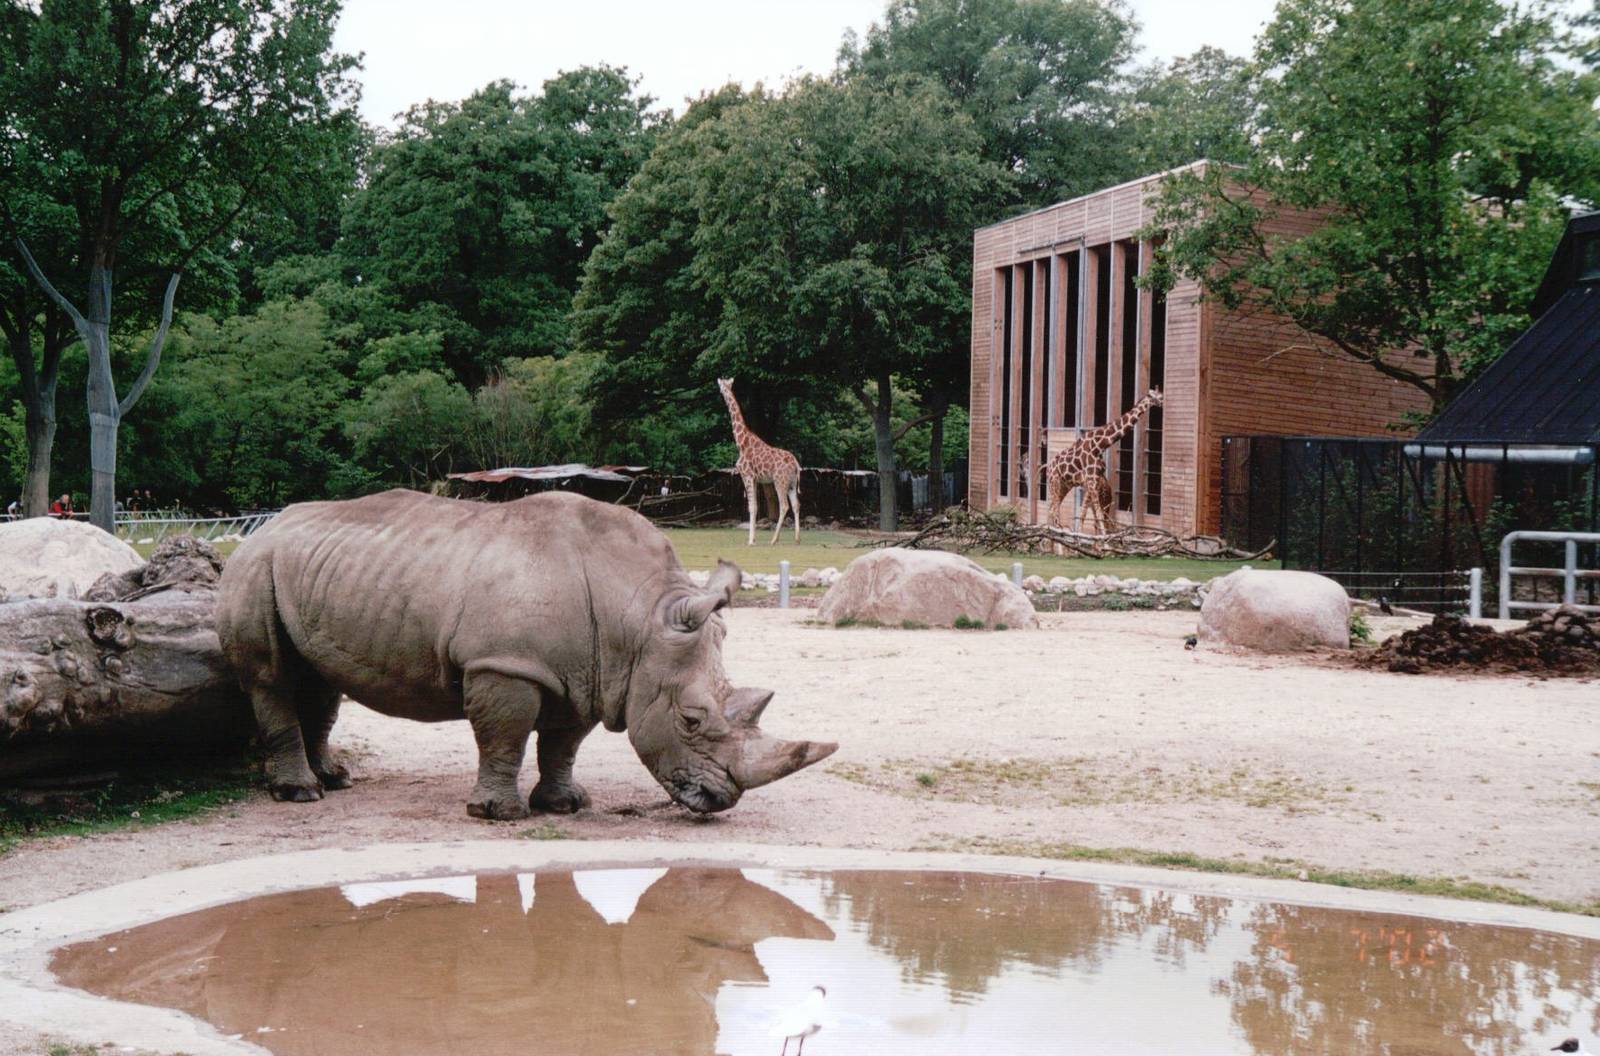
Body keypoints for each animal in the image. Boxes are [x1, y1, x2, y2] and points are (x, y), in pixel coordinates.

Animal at [723, 377, 806, 544]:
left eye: (722, 384)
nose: (721, 387)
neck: (741, 442)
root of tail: (796, 464)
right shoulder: (755, 479)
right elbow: (755, 507)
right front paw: (753, 539)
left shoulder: (747, 475)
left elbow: (752, 507)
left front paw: (750, 541)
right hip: (792, 483)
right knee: (796, 505)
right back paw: (797, 539)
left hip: (779, 481)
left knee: (784, 505)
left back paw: (774, 539)